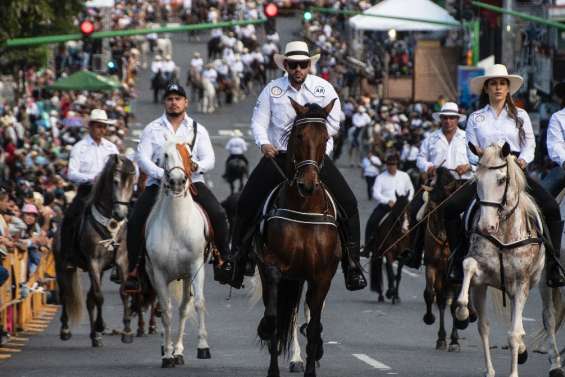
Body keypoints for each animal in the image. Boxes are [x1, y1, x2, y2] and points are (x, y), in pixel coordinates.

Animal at [54, 154, 137, 346]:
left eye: (132, 182)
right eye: (115, 181)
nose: (120, 214)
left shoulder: (122, 260)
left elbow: (123, 292)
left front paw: (127, 331)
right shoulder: (93, 262)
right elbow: (99, 296)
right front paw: (101, 325)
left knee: (88, 299)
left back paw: (95, 336)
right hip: (62, 267)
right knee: (64, 295)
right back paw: (66, 330)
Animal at [145, 139, 212, 368]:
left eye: (189, 154)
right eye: (164, 155)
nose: (177, 181)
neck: (176, 223)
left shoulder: (196, 267)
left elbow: (198, 303)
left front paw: (203, 347)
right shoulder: (158, 273)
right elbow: (166, 311)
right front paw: (167, 355)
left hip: (185, 277)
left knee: (184, 308)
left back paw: (180, 351)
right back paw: (170, 349)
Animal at [256, 97, 340, 376]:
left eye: (326, 137)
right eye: (299, 135)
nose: (307, 185)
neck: (304, 206)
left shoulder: (322, 275)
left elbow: (313, 327)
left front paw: (311, 367)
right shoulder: (273, 265)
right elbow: (274, 318)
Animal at [454, 143, 548, 376]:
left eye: (501, 180)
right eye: (476, 180)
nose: (486, 226)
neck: (504, 232)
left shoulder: (522, 283)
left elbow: (514, 333)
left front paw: (514, 372)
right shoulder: (480, 277)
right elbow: (468, 265)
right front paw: (462, 312)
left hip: (520, 288)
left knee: (517, 328)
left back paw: (521, 350)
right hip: (485, 288)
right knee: (484, 326)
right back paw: (490, 370)